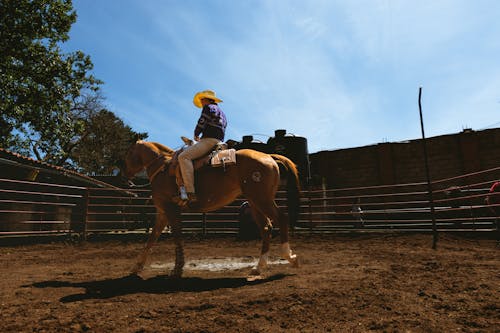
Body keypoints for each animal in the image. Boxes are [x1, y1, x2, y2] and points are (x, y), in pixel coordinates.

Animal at [122, 140, 298, 278]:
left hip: (262, 200)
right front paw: (136, 267)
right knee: (266, 228)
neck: (162, 169)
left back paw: (289, 257)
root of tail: (269, 156)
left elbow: (177, 236)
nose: (125, 175)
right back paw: (258, 267)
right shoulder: (162, 213)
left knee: (281, 218)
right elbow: (152, 238)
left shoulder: (171, 209)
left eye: (129, 152)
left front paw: (177, 269)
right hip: (255, 202)